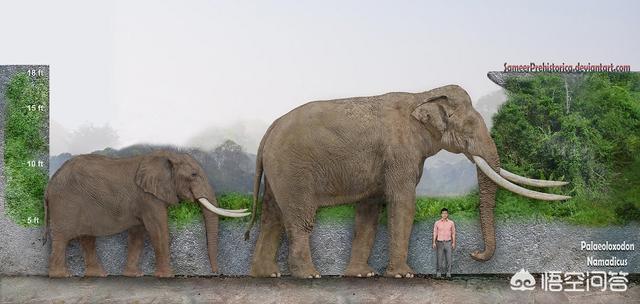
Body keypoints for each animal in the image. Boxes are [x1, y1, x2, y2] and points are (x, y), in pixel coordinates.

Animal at [44, 150, 250, 278]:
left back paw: (99, 275)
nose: (216, 272)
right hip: (65, 204)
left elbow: (138, 234)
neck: (167, 156)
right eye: (193, 175)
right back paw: (62, 276)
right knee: (61, 238)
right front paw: (168, 276)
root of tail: (49, 185)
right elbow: (158, 229)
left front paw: (135, 275)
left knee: (87, 238)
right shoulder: (147, 197)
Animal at [246, 85, 568, 278]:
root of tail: (267, 132)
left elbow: (370, 212)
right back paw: (308, 275)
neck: (423, 94)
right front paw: (403, 275)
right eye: (468, 127)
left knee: (272, 215)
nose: (474, 253)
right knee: (299, 218)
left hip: (279, 171)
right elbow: (403, 204)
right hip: (294, 169)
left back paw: (266, 274)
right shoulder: (401, 153)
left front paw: (363, 275)